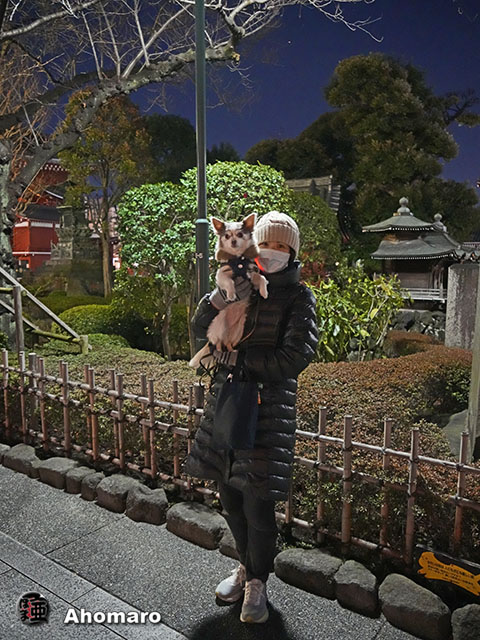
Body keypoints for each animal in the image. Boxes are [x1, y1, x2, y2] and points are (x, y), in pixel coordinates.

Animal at [189, 212, 268, 369]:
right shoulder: (221, 275)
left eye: (240, 234)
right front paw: (231, 294)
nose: (233, 241)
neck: (239, 260)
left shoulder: (251, 273)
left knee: (228, 343)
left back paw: (232, 352)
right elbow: (229, 281)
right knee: (219, 344)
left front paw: (264, 291)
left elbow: (260, 277)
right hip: (219, 327)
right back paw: (221, 352)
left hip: (237, 332)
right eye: (226, 236)